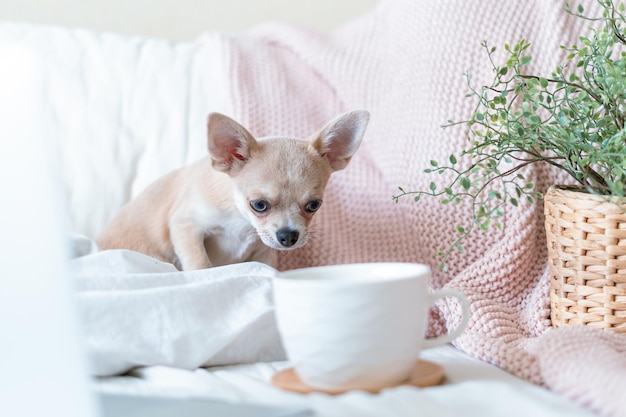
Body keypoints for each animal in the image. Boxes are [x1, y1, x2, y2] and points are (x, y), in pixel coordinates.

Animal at [95, 110, 368, 270]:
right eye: (259, 205)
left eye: (314, 205)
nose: (288, 236)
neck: (240, 220)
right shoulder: (186, 226)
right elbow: (200, 263)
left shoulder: (262, 250)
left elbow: (268, 269)